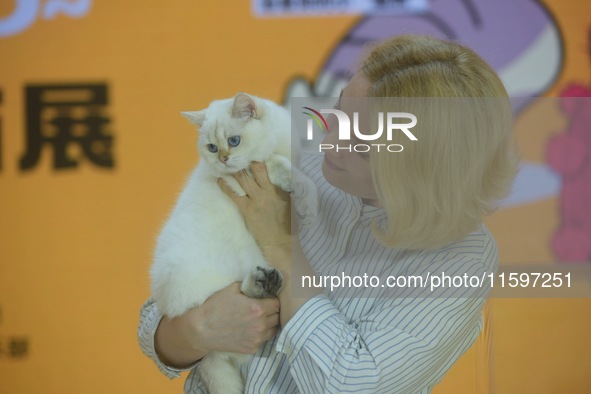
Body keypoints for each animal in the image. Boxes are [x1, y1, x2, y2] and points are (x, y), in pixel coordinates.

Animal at [153, 93, 316, 394]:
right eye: (212, 148)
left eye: (234, 141)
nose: (224, 159)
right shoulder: (239, 178)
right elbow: (279, 165)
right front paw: (305, 202)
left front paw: (303, 207)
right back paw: (262, 283)